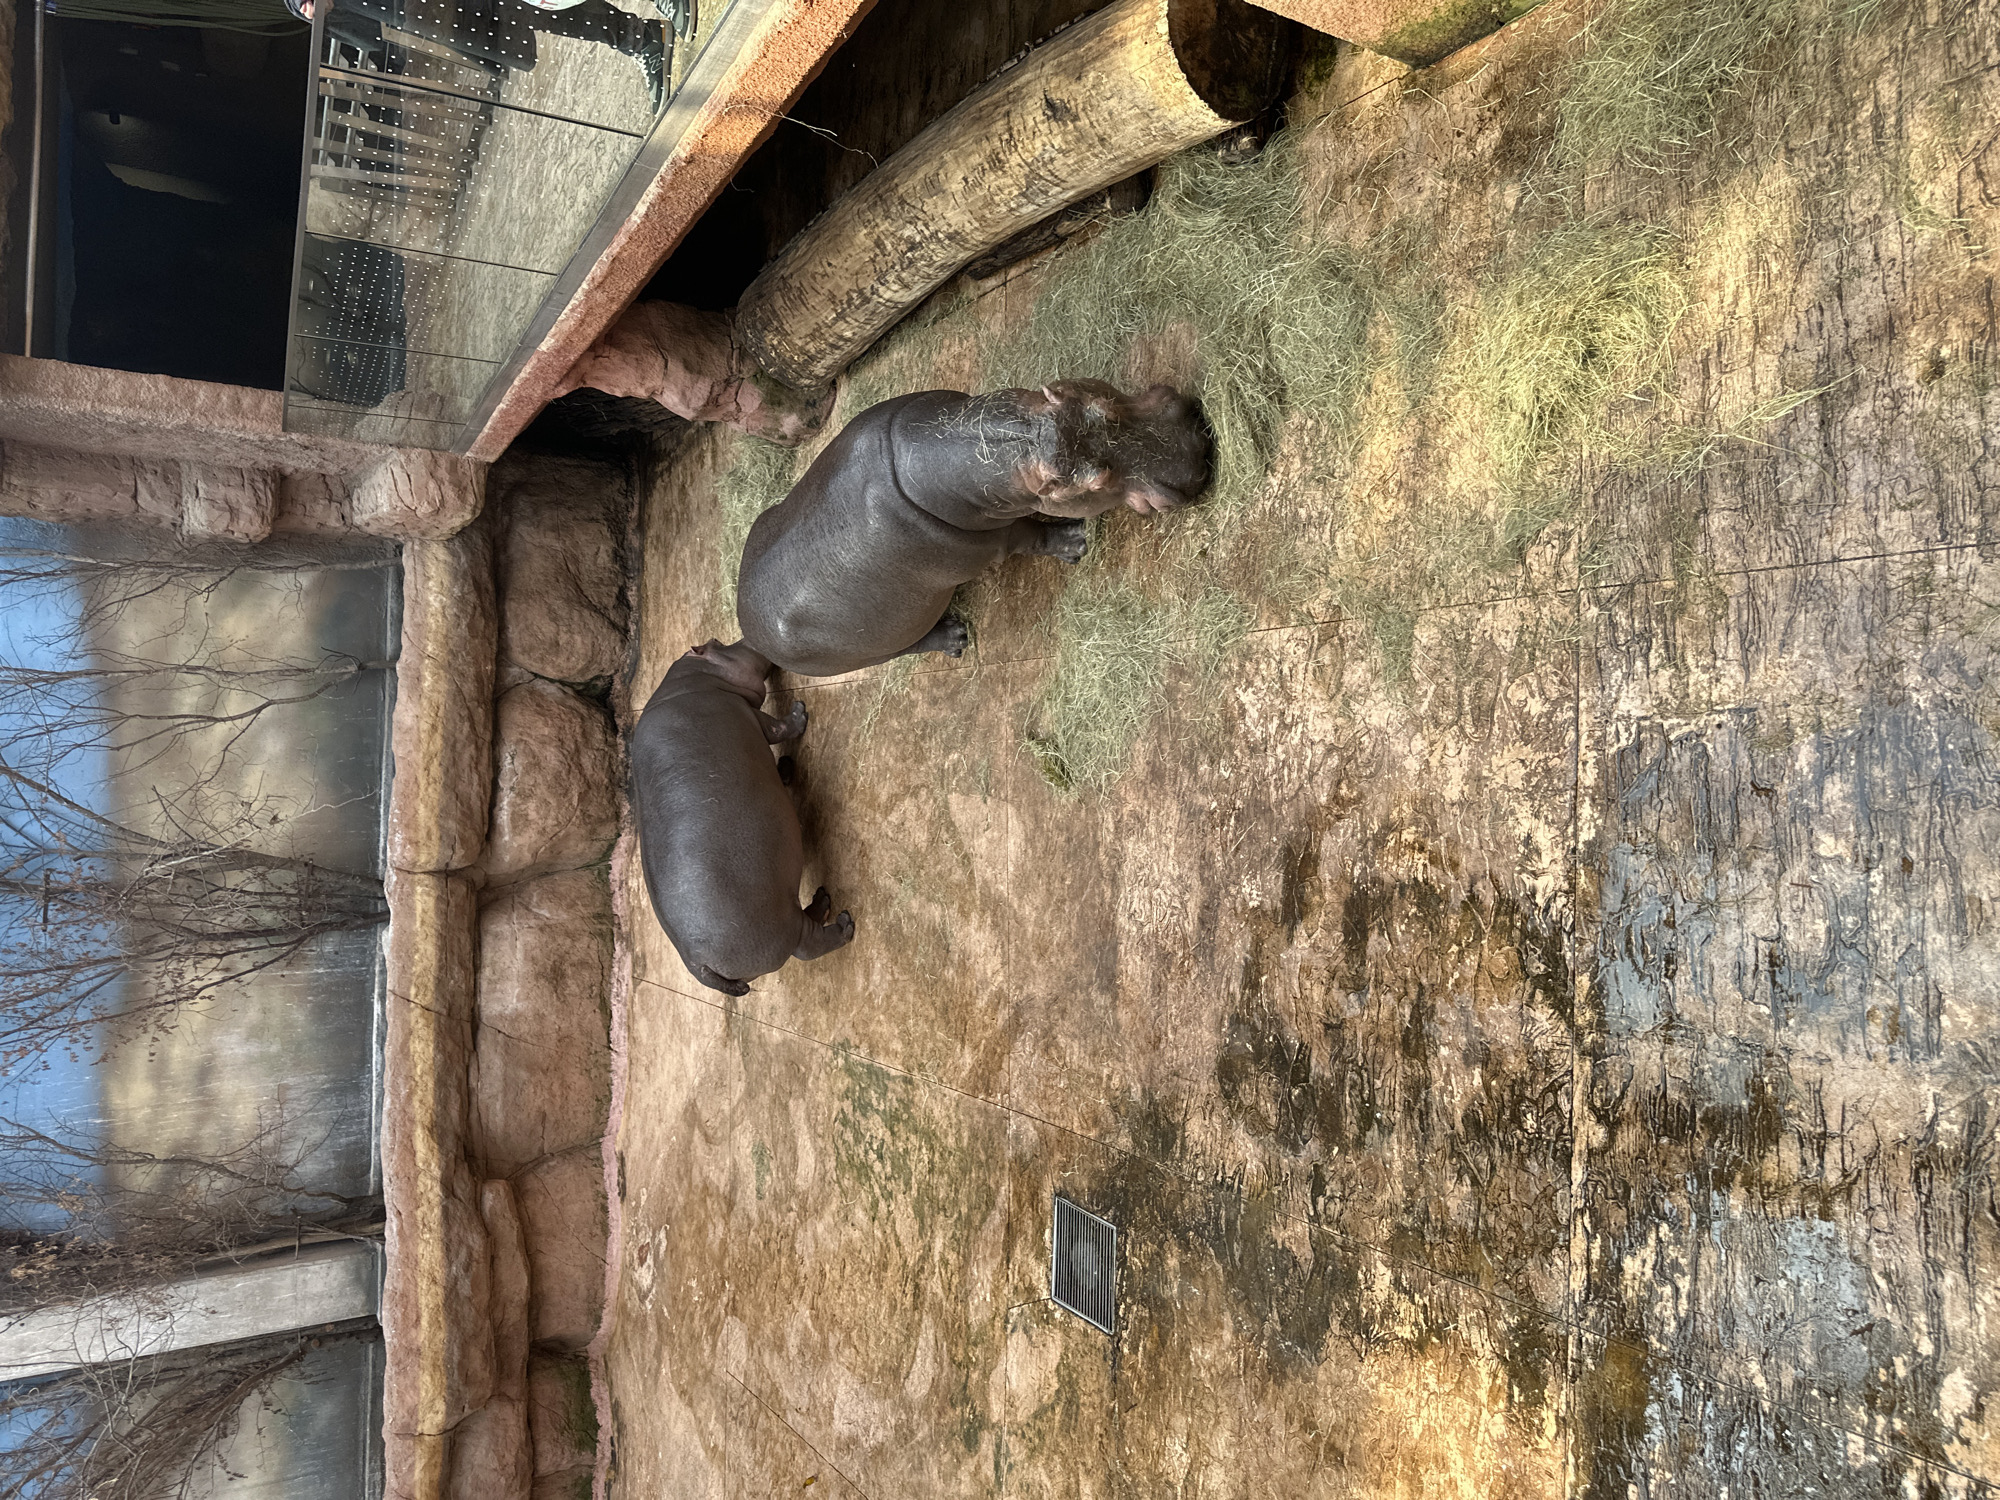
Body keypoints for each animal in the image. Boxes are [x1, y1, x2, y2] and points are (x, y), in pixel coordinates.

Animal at [629, 638, 853, 996]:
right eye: (718, 643)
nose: (748, 638)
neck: (693, 680)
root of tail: (698, 965)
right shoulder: (749, 713)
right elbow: (780, 728)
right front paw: (799, 713)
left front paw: (785, 767)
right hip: (784, 927)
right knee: (810, 944)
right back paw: (843, 923)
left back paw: (821, 898)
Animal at [736, 379, 1210, 677]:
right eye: (1097, 482)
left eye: (1105, 406)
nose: (1196, 441)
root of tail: (746, 627)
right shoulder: (992, 544)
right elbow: (1029, 535)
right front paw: (1074, 542)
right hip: (870, 649)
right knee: (905, 647)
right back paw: (953, 638)